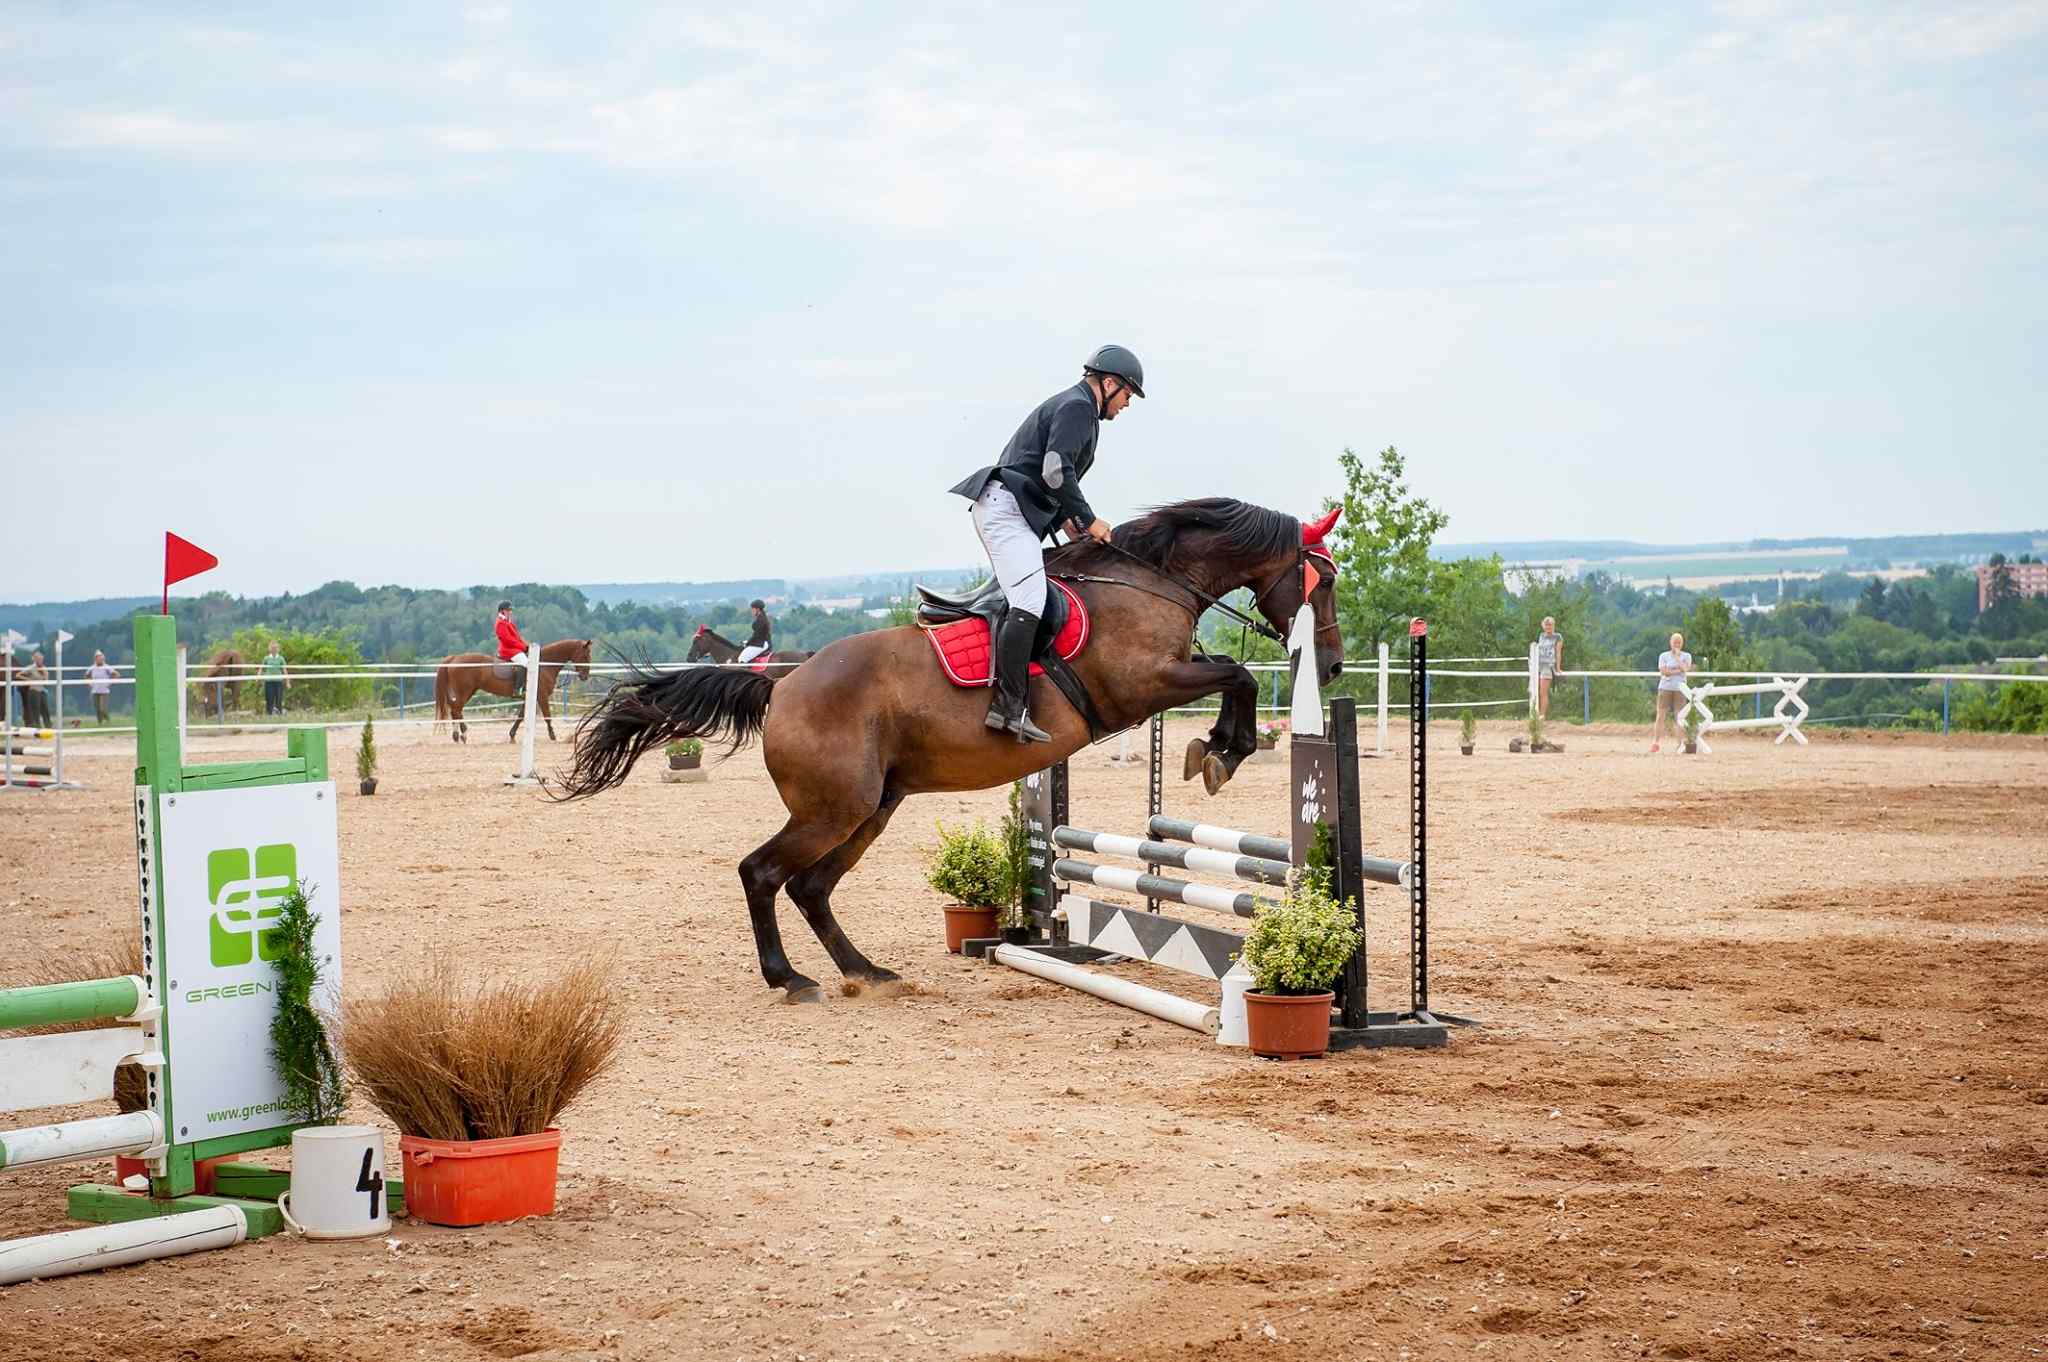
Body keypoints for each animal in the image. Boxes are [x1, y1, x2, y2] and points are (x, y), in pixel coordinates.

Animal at [432, 639, 593, 745]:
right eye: (585, 656)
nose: (585, 676)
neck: (542, 664)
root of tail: (454, 657)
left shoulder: (529, 697)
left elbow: (521, 716)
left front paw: (512, 736)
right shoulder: (541, 696)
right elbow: (547, 715)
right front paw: (553, 736)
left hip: (468, 691)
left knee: (455, 709)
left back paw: (457, 735)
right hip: (464, 690)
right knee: (456, 709)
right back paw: (463, 734)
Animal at [557, 499, 1343, 999]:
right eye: (1326, 579)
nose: (1331, 667)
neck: (1150, 580)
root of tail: (781, 686)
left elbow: (1232, 674)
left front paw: (1217, 749)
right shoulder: (1143, 684)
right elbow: (1237, 673)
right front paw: (1221, 752)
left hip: (872, 807)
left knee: (810, 887)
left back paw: (866, 973)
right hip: (834, 808)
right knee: (763, 872)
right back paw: (791, 978)